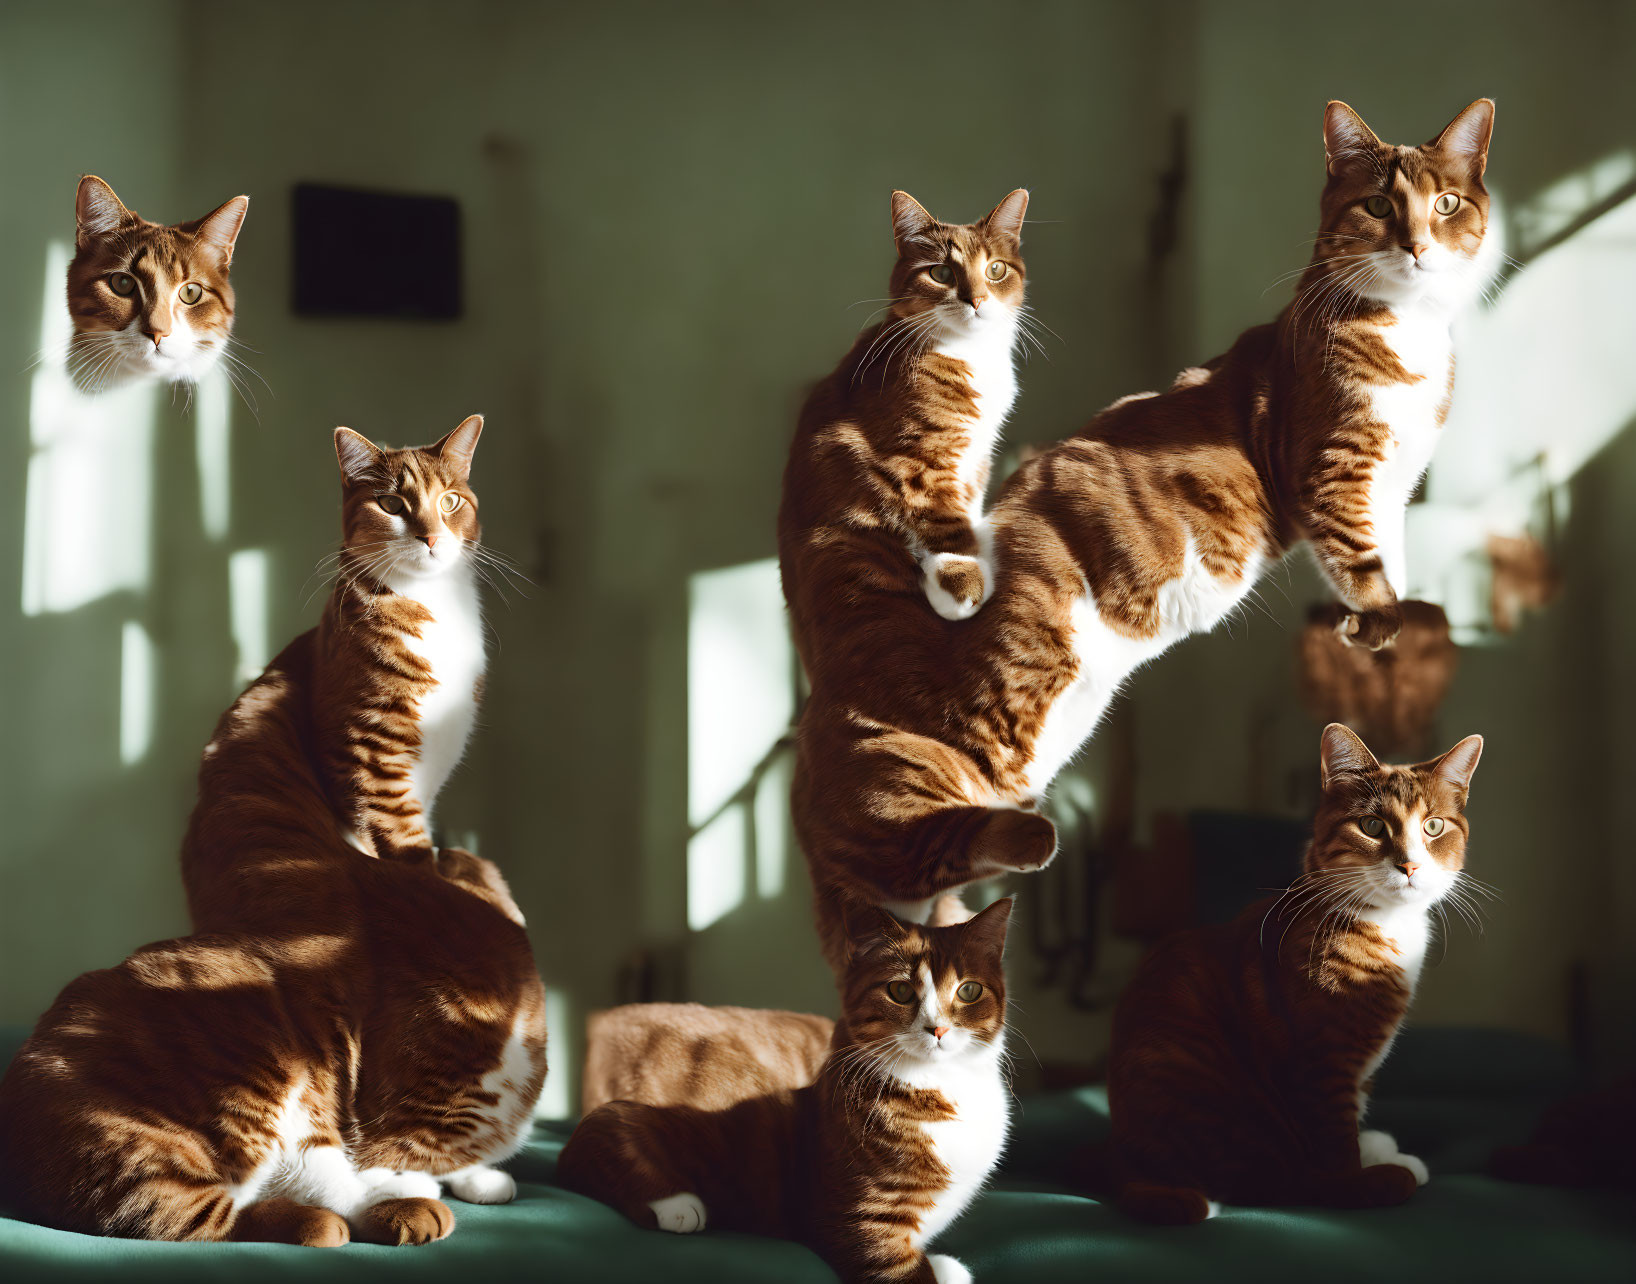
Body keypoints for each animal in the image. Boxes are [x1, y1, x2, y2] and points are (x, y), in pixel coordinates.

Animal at [0, 418, 549, 1243]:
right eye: (393, 503)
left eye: (451, 500)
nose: (428, 534)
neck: (432, 613)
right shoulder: (378, 772)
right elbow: (415, 863)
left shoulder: (427, 783)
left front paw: (475, 1174)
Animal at [566, 896, 1020, 1275]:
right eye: (900, 990)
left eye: (969, 989)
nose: (938, 1029)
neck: (939, 1084)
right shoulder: (856, 1220)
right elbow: (899, 1268)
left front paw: (946, 1266)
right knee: (595, 1136)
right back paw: (678, 1204)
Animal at [785, 97, 1498, 974]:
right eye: (1376, 206)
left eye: (1444, 203)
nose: (1416, 244)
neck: (1412, 333)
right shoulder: (1335, 465)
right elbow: (1356, 547)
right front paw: (1378, 617)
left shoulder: (1394, 481)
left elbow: (1389, 541)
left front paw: (1380, 626)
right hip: (911, 784)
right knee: (910, 848)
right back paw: (1029, 835)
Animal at [1099, 719, 1485, 1223]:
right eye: (1372, 825)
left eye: (1433, 826)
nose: (1410, 865)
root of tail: (1123, 1162)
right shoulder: (1322, 1056)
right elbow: (1336, 1141)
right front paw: (1363, 1177)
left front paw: (1376, 1149)